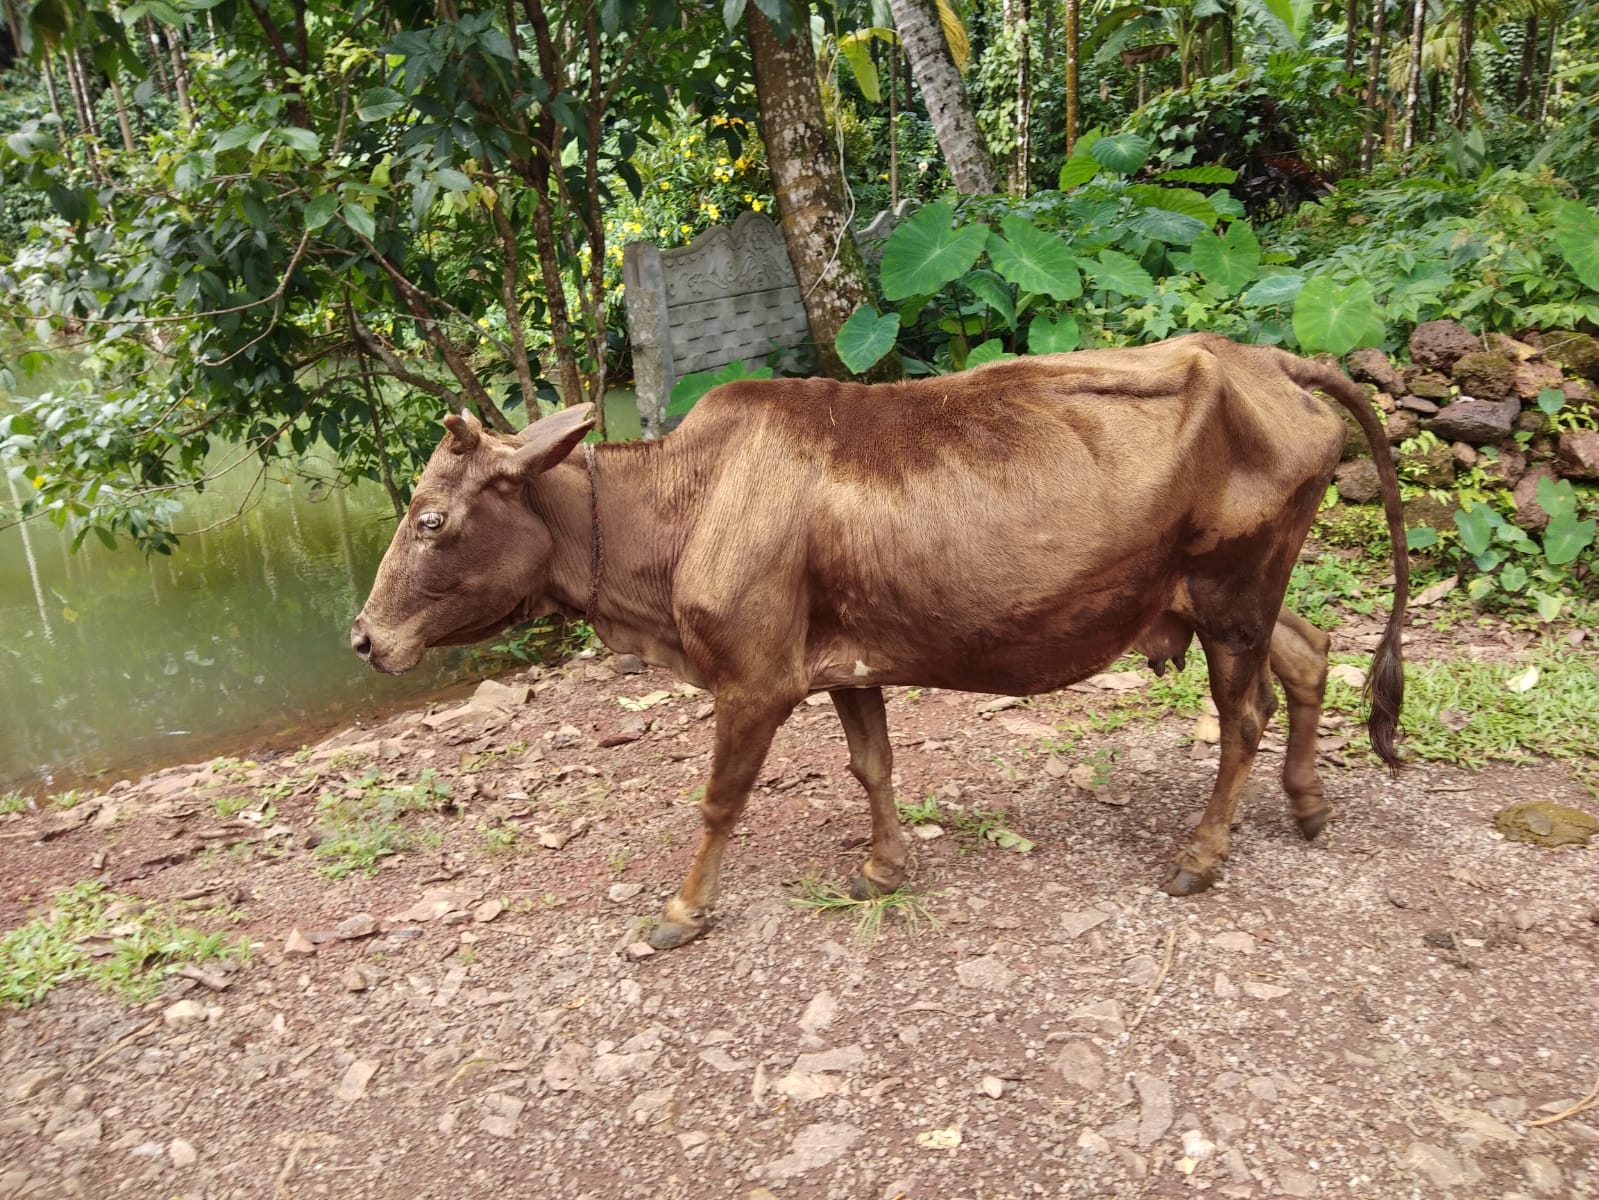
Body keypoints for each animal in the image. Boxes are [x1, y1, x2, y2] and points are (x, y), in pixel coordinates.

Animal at [356, 336, 1407, 947]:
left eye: (432, 520)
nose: (364, 639)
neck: (684, 505)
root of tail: (1264, 360)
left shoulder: (753, 680)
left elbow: (719, 801)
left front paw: (681, 911)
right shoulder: (843, 665)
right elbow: (874, 766)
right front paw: (882, 869)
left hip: (1230, 594)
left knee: (1244, 716)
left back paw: (1201, 853)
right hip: (1233, 598)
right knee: (1310, 653)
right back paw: (1307, 805)